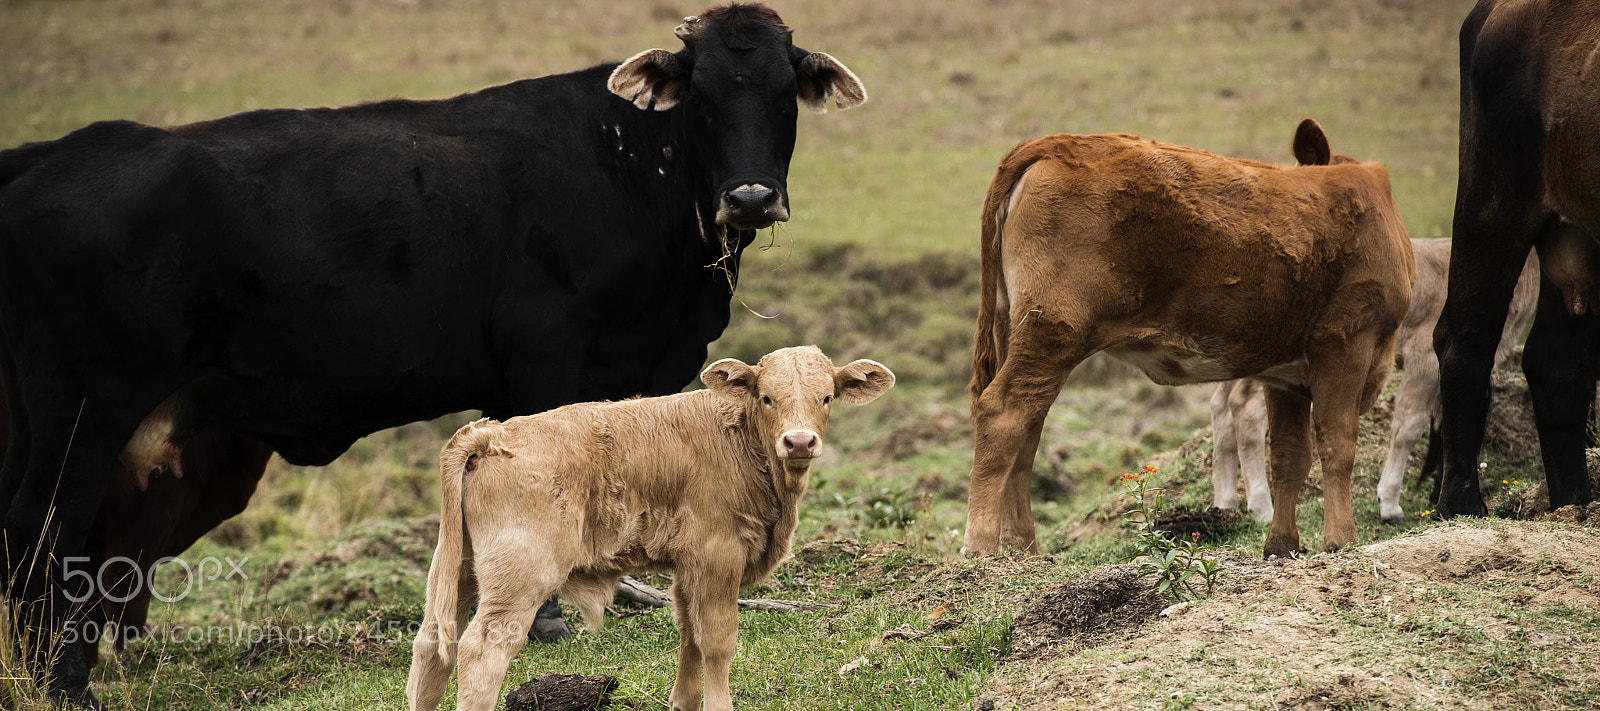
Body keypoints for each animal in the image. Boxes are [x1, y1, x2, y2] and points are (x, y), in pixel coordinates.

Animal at [404, 346, 893, 711]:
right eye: (767, 397)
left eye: (826, 397)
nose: (799, 441)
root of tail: (492, 434)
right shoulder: (717, 555)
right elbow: (717, 639)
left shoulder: (688, 565)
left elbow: (689, 632)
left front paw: (684, 702)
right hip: (520, 578)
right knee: (481, 650)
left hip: (459, 568)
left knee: (432, 643)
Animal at [963, 118, 1415, 559]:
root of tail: (1055, 143)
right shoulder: (1346, 338)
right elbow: (1337, 443)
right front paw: (1342, 539)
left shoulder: (1286, 372)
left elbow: (1290, 455)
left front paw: (1282, 545)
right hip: (1054, 329)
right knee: (1004, 413)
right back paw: (981, 549)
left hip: (1017, 328)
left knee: (1029, 425)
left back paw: (1023, 549)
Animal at [1210, 238, 1538, 524]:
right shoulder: (1426, 353)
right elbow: (1409, 426)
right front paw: (1390, 502)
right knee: (1245, 407)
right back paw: (1262, 507)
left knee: (1221, 406)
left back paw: (1225, 504)